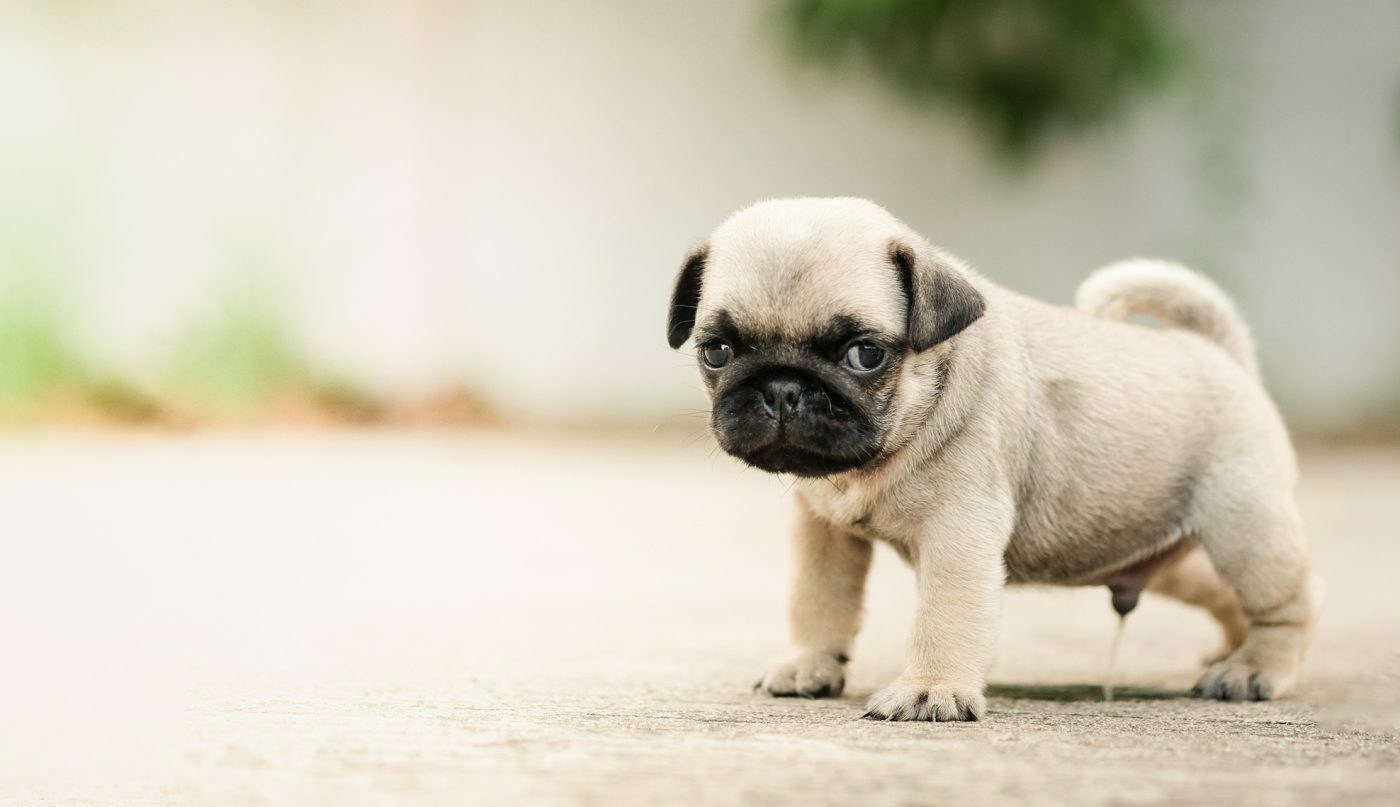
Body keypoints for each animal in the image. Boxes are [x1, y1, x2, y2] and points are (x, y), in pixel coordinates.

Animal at [669, 198, 1321, 722]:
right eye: (717, 351)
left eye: (865, 354)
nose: (782, 388)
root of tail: (1222, 355)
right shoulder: (825, 532)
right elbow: (818, 600)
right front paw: (810, 664)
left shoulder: (958, 530)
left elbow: (943, 617)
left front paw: (931, 691)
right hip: (1164, 547)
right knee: (1223, 592)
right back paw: (1231, 649)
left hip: (1243, 529)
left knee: (1288, 603)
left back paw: (1255, 667)